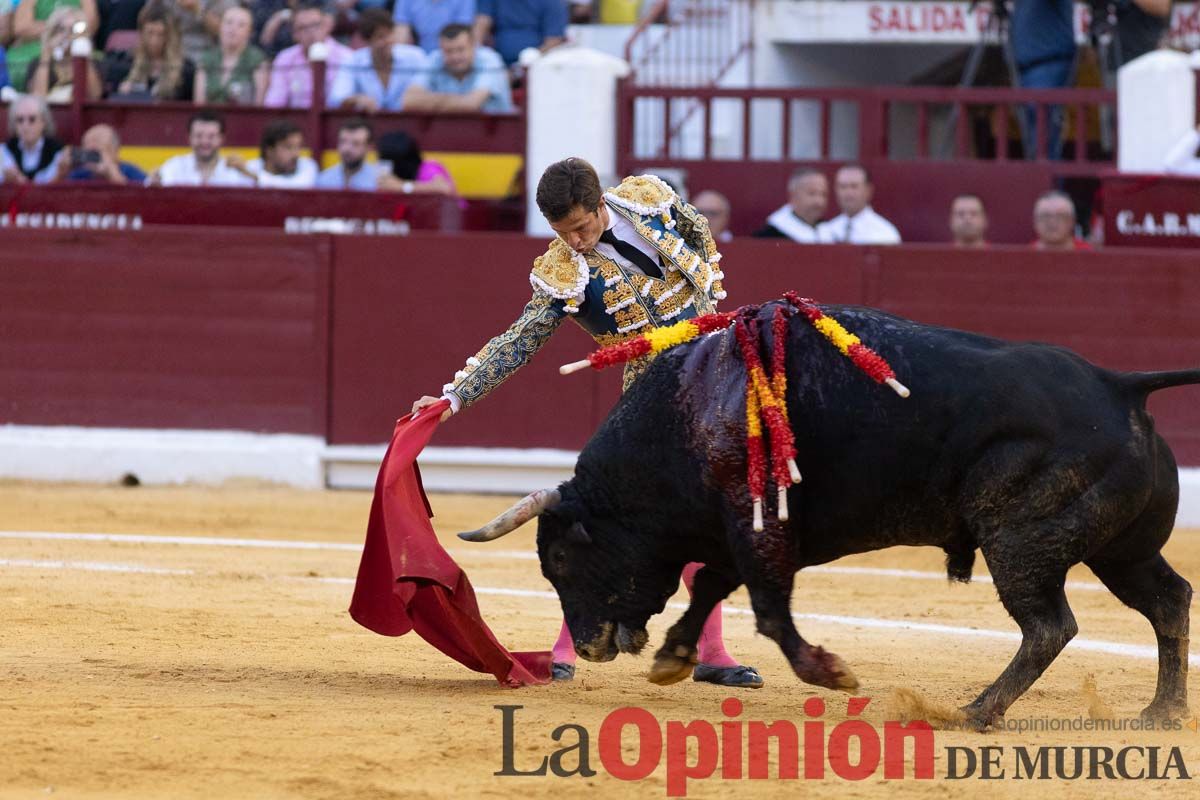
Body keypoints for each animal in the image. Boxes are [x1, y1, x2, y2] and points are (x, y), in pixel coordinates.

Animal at [456, 303, 1190, 729]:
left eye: (560, 558)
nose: (586, 646)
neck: (689, 412)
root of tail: (1119, 386)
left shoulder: (760, 532)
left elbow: (768, 612)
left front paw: (830, 673)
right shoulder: (738, 530)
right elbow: (711, 589)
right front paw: (672, 659)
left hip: (1019, 542)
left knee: (1050, 626)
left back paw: (974, 713)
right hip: (1121, 548)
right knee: (1168, 599)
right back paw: (1162, 711)